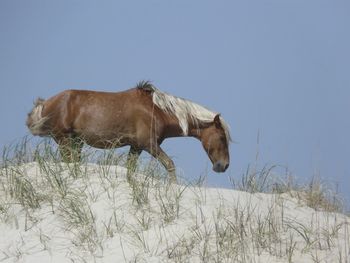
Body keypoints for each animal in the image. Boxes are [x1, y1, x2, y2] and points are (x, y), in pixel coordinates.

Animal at [26, 81, 231, 184]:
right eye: (222, 137)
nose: (224, 166)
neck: (157, 110)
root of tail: (46, 103)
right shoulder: (149, 145)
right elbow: (169, 165)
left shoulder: (136, 147)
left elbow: (130, 171)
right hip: (65, 140)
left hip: (76, 142)